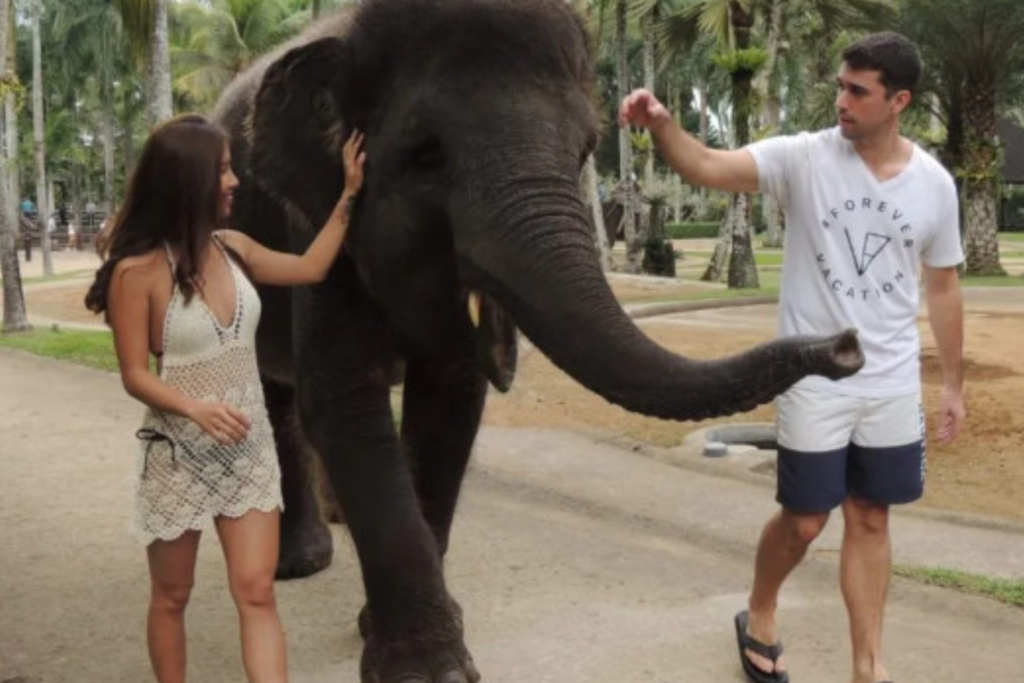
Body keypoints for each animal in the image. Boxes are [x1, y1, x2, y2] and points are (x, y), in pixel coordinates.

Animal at [213, 0, 863, 681]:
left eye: (584, 151)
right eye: (425, 155)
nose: (847, 346)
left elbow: (450, 399)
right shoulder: (311, 226)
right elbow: (343, 403)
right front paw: (429, 668)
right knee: (276, 399)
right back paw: (301, 562)